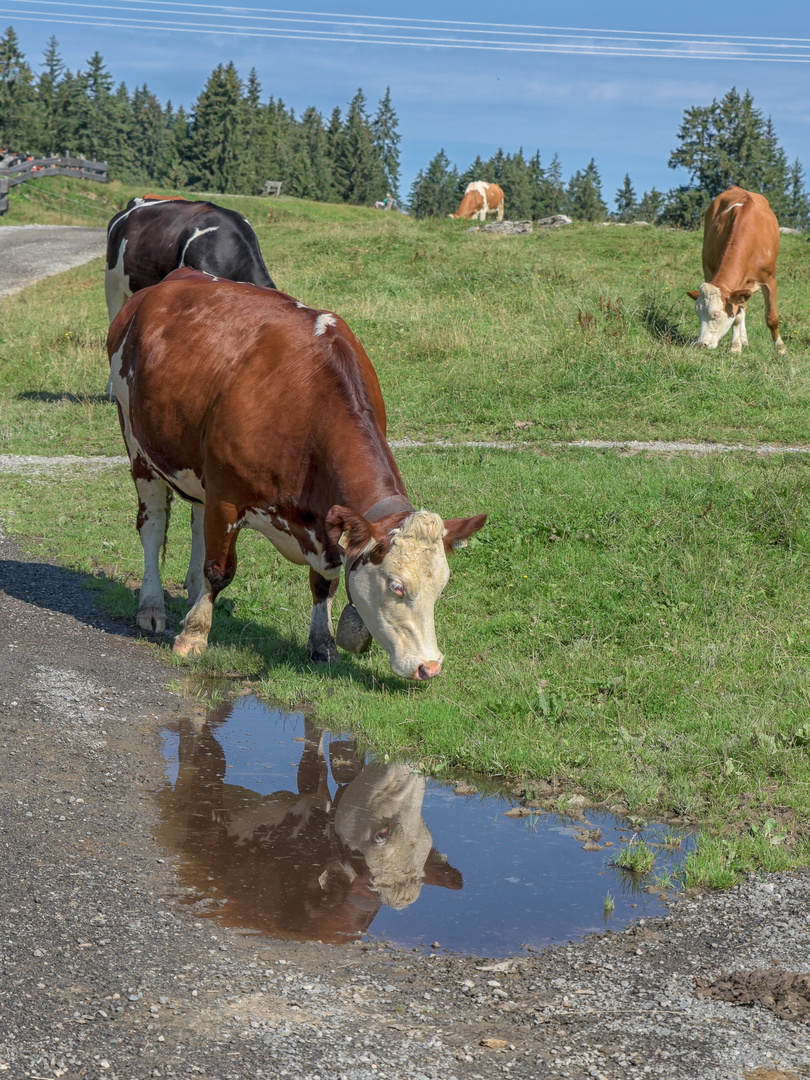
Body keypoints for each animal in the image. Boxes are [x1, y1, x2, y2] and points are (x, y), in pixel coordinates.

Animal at [109, 265, 488, 678]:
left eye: (442, 587)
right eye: (396, 586)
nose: (429, 667)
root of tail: (173, 278)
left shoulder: (327, 518)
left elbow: (325, 580)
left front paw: (322, 644)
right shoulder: (227, 497)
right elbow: (219, 569)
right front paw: (194, 636)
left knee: (196, 519)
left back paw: (192, 593)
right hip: (135, 441)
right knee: (153, 524)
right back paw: (152, 606)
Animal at [686, 187, 786, 352]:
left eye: (716, 314)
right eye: (697, 313)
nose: (701, 344)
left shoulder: (770, 280)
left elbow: (772, 318)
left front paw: (780, 348)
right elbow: (736, 319)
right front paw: (735, 347)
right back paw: (742, 340)